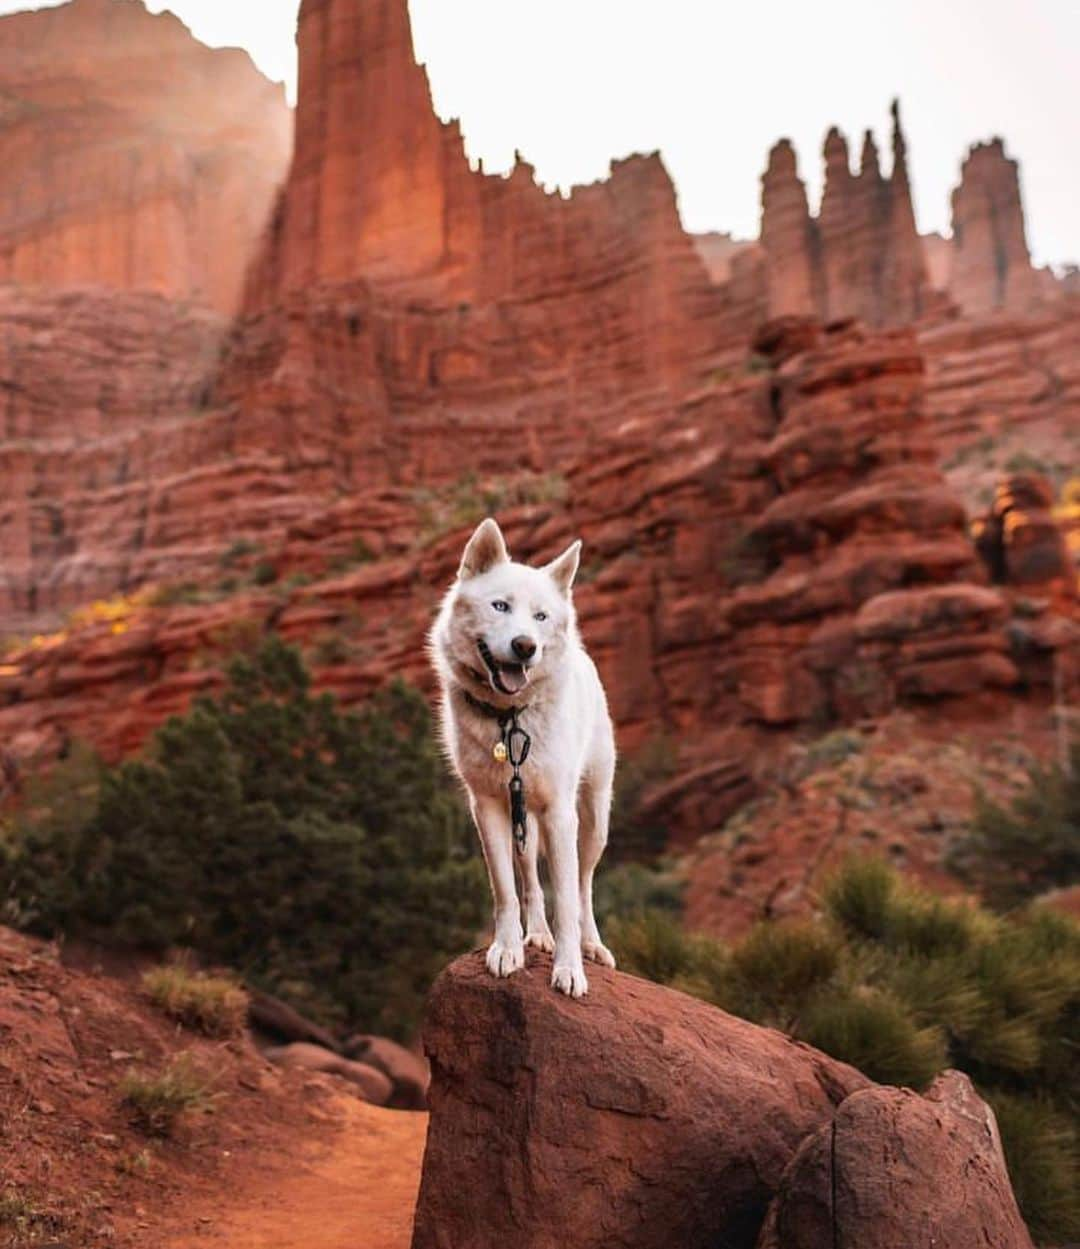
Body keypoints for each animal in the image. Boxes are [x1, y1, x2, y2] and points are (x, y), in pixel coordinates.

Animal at [429, 517, 614, 994]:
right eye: (500, 606)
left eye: (541, 616)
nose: (525, 645)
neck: (509, 719)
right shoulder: (488, 807)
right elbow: (506, 892)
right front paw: (508, 950)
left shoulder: (560, 813)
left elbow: (567, 899)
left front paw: (569, 970)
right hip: (523, 819)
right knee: (530, 878)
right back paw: (539, 935)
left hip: (593, 820)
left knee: (584, 886)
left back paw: (591, 945)